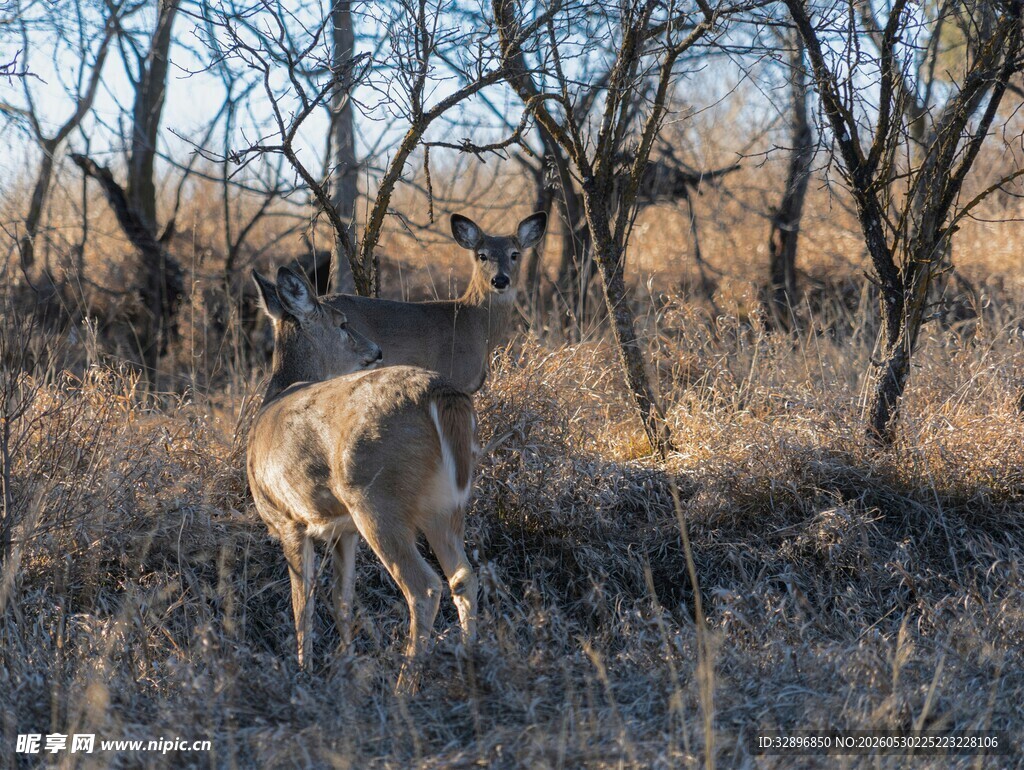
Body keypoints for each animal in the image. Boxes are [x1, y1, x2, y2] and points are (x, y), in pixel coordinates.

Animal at [247, 266, 480, 683]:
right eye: (342, 324)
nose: (377, 351)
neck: (273, 398)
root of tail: (441, 393)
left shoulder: (288, 519)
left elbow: (302, 604)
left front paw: (305, 670)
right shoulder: (343, 530)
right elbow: (343, 598)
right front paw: (345, 660)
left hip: (375, 498)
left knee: (424, 587)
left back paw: (405, 681)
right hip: (445, 505)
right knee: (463, 577)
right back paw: (470, 662)